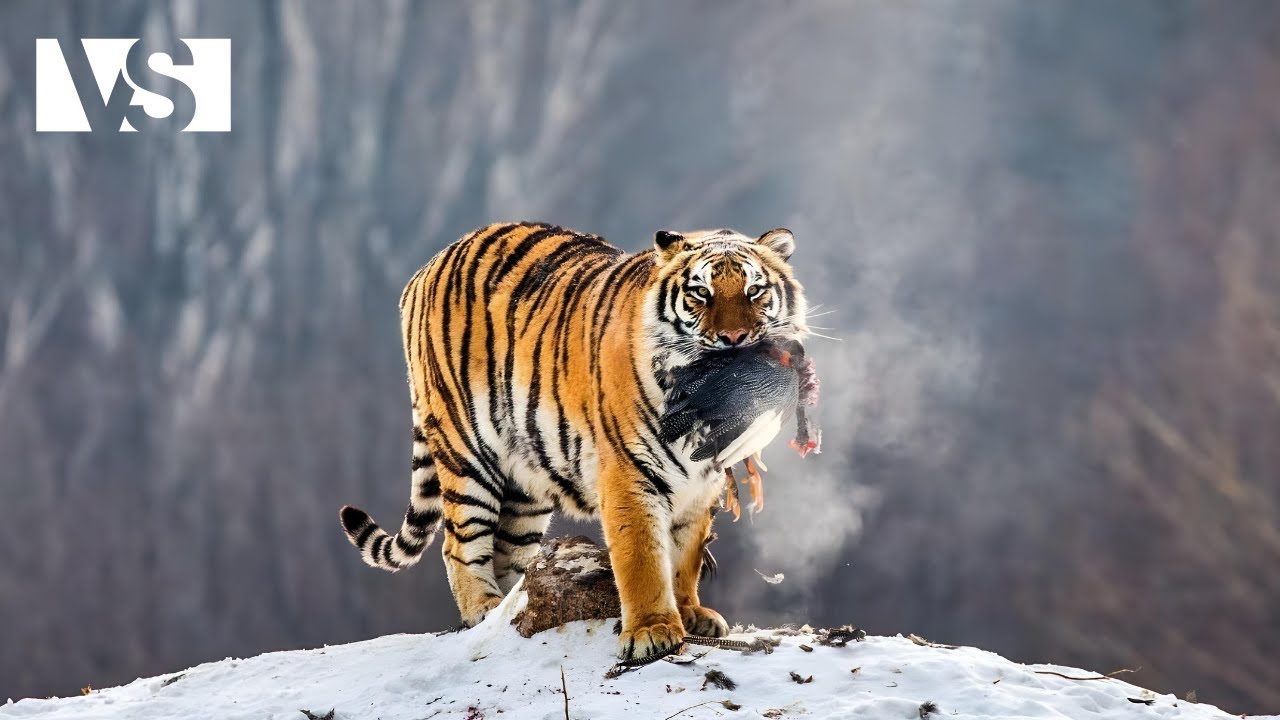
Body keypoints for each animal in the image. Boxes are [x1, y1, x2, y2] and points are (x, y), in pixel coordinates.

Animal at [338, 221, 809, 661]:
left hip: (525, 483)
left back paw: (513, 608)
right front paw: (651, 630)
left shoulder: (703, 485)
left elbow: (685, 555)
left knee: (508, 552)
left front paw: (690, 612)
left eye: (754, 291)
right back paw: (484, 608)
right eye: (700, 294)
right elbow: (642, 557)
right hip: (467, 450)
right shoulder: (629, 474)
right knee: (459, 543)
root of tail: (426, 268)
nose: (735, 340)